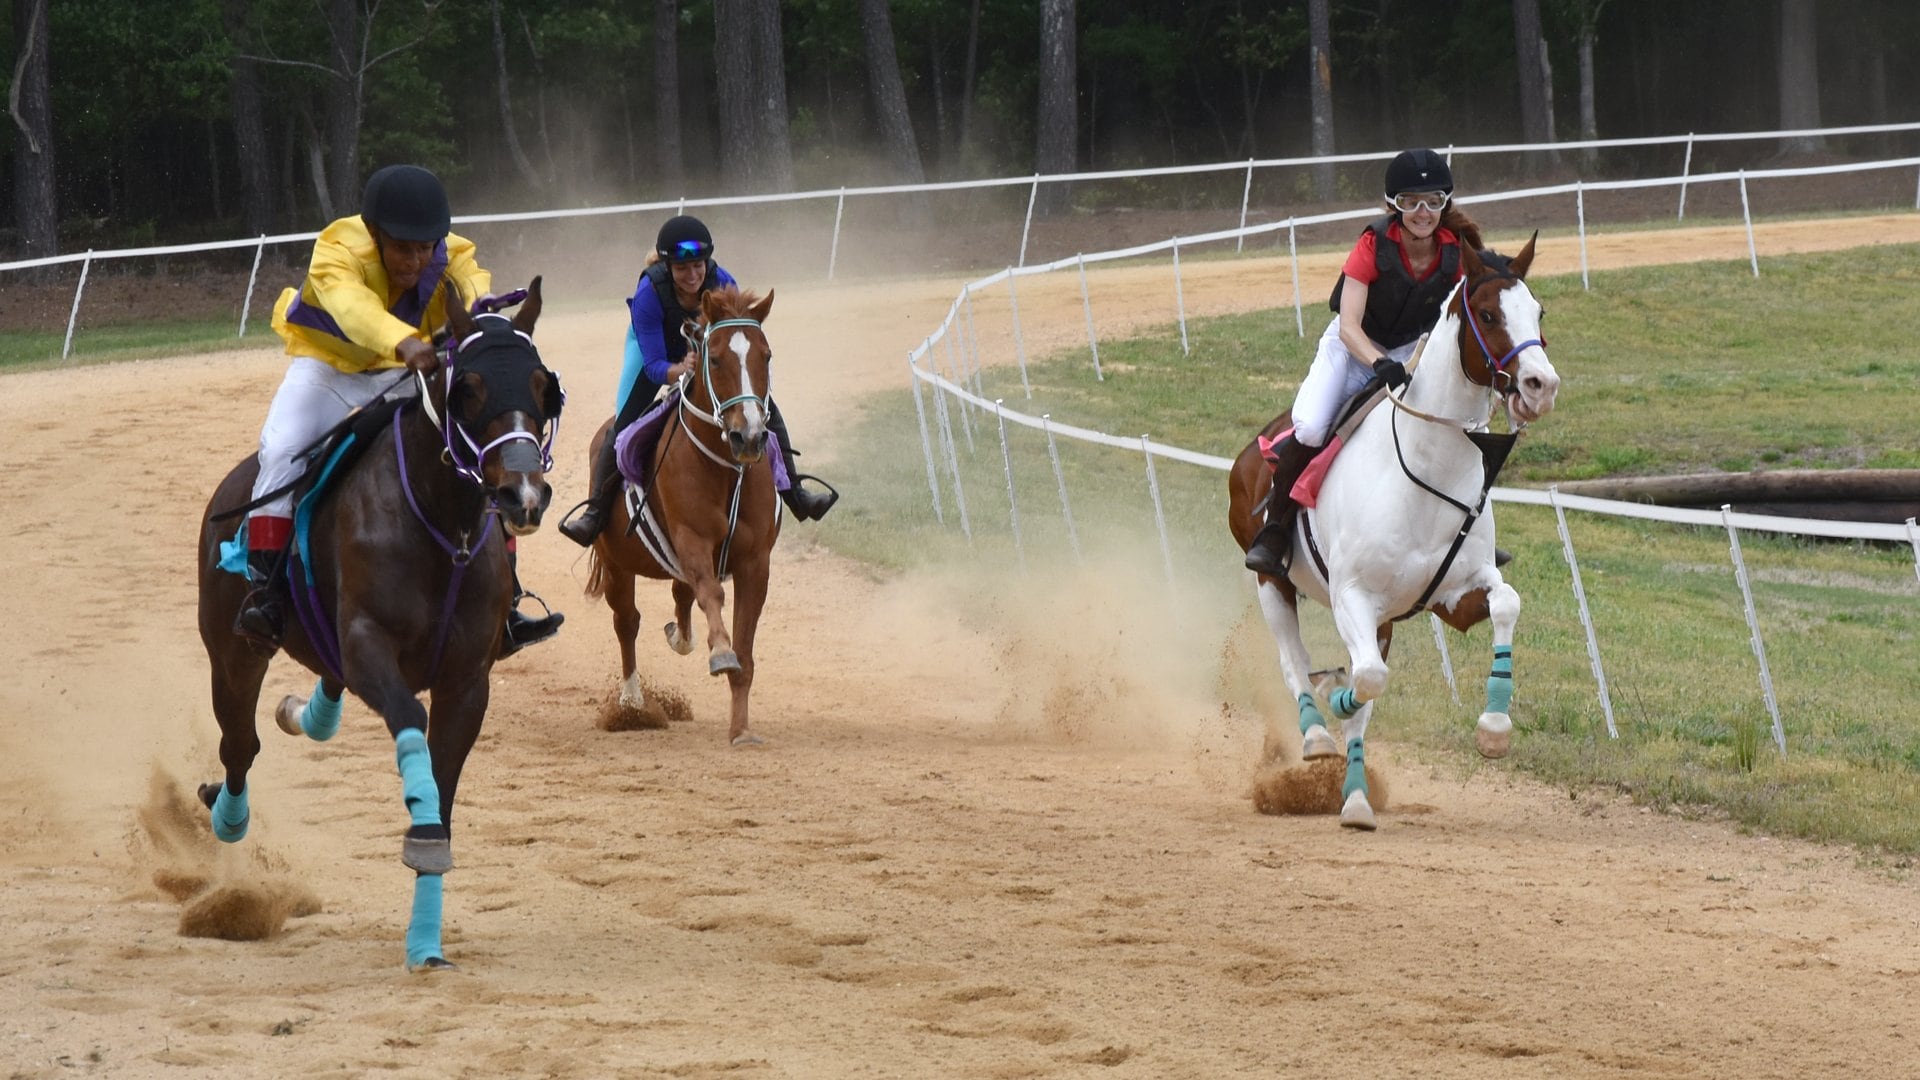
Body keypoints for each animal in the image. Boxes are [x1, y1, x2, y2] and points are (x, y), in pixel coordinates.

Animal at [195, 278, 560, 968]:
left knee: (311, 696)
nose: (522, 495)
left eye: (541, 385)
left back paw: (307, 713)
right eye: (467, 386)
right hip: (232, 651)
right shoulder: (368, 647)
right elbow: (409, 721)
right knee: (240, 745)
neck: (441, 526)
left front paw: (426, 939)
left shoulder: (468, 679)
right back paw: (227, 816)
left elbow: (442, 787)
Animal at [579, 282, 775, 745]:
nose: (749, 436)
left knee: (679, 596)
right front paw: (720, 651)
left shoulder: (755, 561)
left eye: (766, 356)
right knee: (627, 622)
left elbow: (745, 653)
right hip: (616, 563)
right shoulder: (691, 538)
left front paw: (741, 730)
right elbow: (712, 595)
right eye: (715, 358)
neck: (725, 467)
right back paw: (632, 704)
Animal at [1228, 239, 1559, 826]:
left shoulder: (1453, 595)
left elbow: (1506, 603)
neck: (1430, 469)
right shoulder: (1352, 596)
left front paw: (1494, 729)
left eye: (1537, 313)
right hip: (1273, 581)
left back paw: (1357, 800)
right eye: (1489, 315)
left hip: (1380, 619)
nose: (1541, 387)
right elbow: (1368, 680)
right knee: (1295, 662)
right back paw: (1316, 736)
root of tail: (1255, 448)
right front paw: (1336, 699)